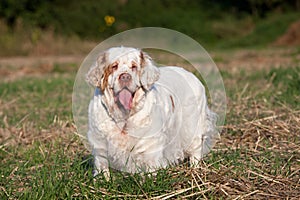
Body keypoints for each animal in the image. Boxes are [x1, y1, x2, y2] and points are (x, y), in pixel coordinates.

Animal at [85, 46, 219, 178]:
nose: (125, 76)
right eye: (114, 66)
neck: (124, 116)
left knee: (196, 149)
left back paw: (195, 170)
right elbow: (102, 164)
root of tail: (191, 75)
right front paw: (103, 179)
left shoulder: (150, 142)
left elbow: (150, 163)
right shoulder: (99, 140)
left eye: (134, 67)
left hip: (192, 126)